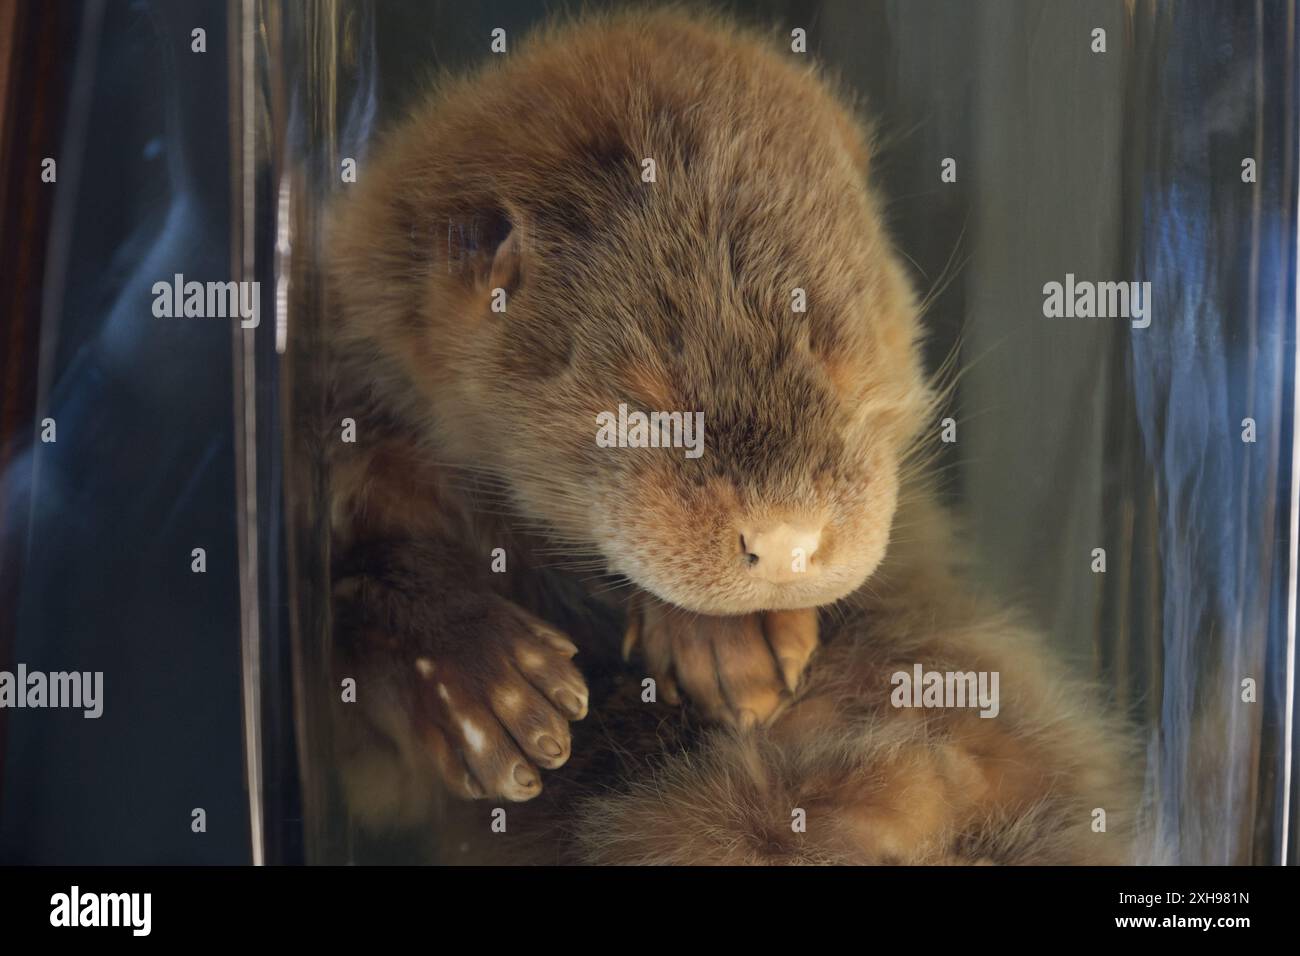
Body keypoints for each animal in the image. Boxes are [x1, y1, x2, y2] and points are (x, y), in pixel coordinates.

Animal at [323, 8, 1136, 864]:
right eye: (647, 406)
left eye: (842, 366)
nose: (786, 542)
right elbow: (359, 582)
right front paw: (485, 685)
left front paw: (734, 644)